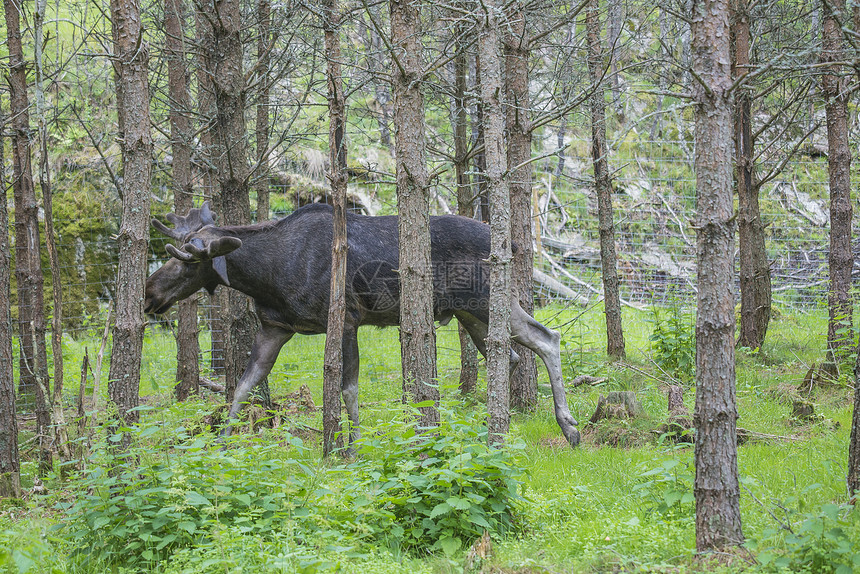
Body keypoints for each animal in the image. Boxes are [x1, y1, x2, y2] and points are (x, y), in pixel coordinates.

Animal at [144, 202, 580, 450]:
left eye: (186, 262)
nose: (149, 294)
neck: (266, 275)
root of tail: (511, 244)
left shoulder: (347, 320)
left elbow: (348, 389)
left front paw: (351, 448)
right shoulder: (275, 328)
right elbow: (242, 386)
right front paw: (220, 445)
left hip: (487, 300)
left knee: (548, 337)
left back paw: (568, 426)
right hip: (470, 314)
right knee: (512, 352)